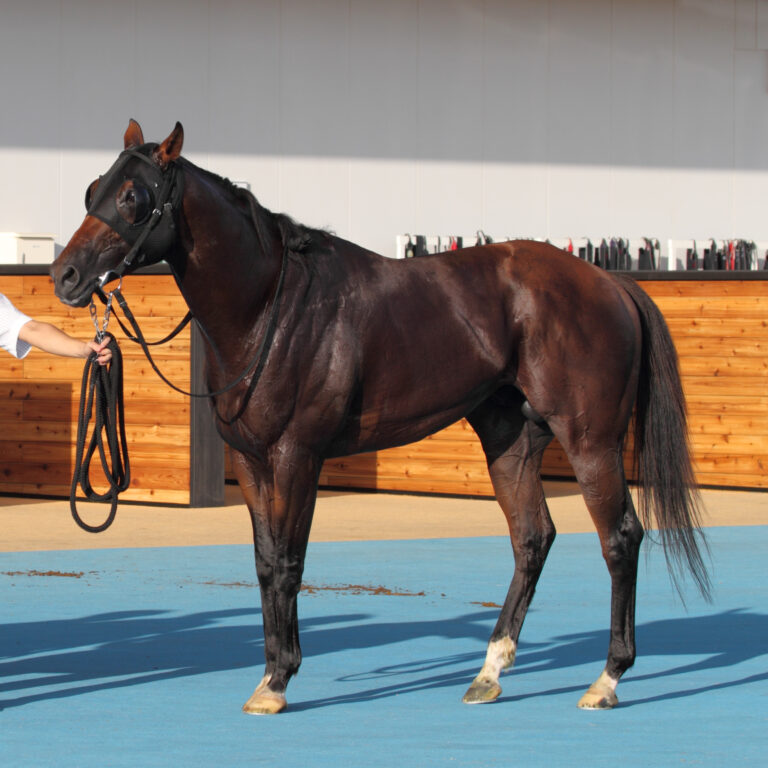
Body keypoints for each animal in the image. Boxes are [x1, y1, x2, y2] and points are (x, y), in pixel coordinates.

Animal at [51, 120, 710, 715]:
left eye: (133, 197)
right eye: (92, 189)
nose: (66, 276)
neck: (270, 310)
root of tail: (610, 282)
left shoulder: (297, 456)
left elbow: (288, 562)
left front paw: (278, 683)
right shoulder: (252, 461)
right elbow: (264, 563)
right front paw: (268, 674)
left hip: (589, 440)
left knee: (619, 538)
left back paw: (606, 680)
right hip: (510, 439)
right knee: (532, 537)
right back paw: (489, 672)